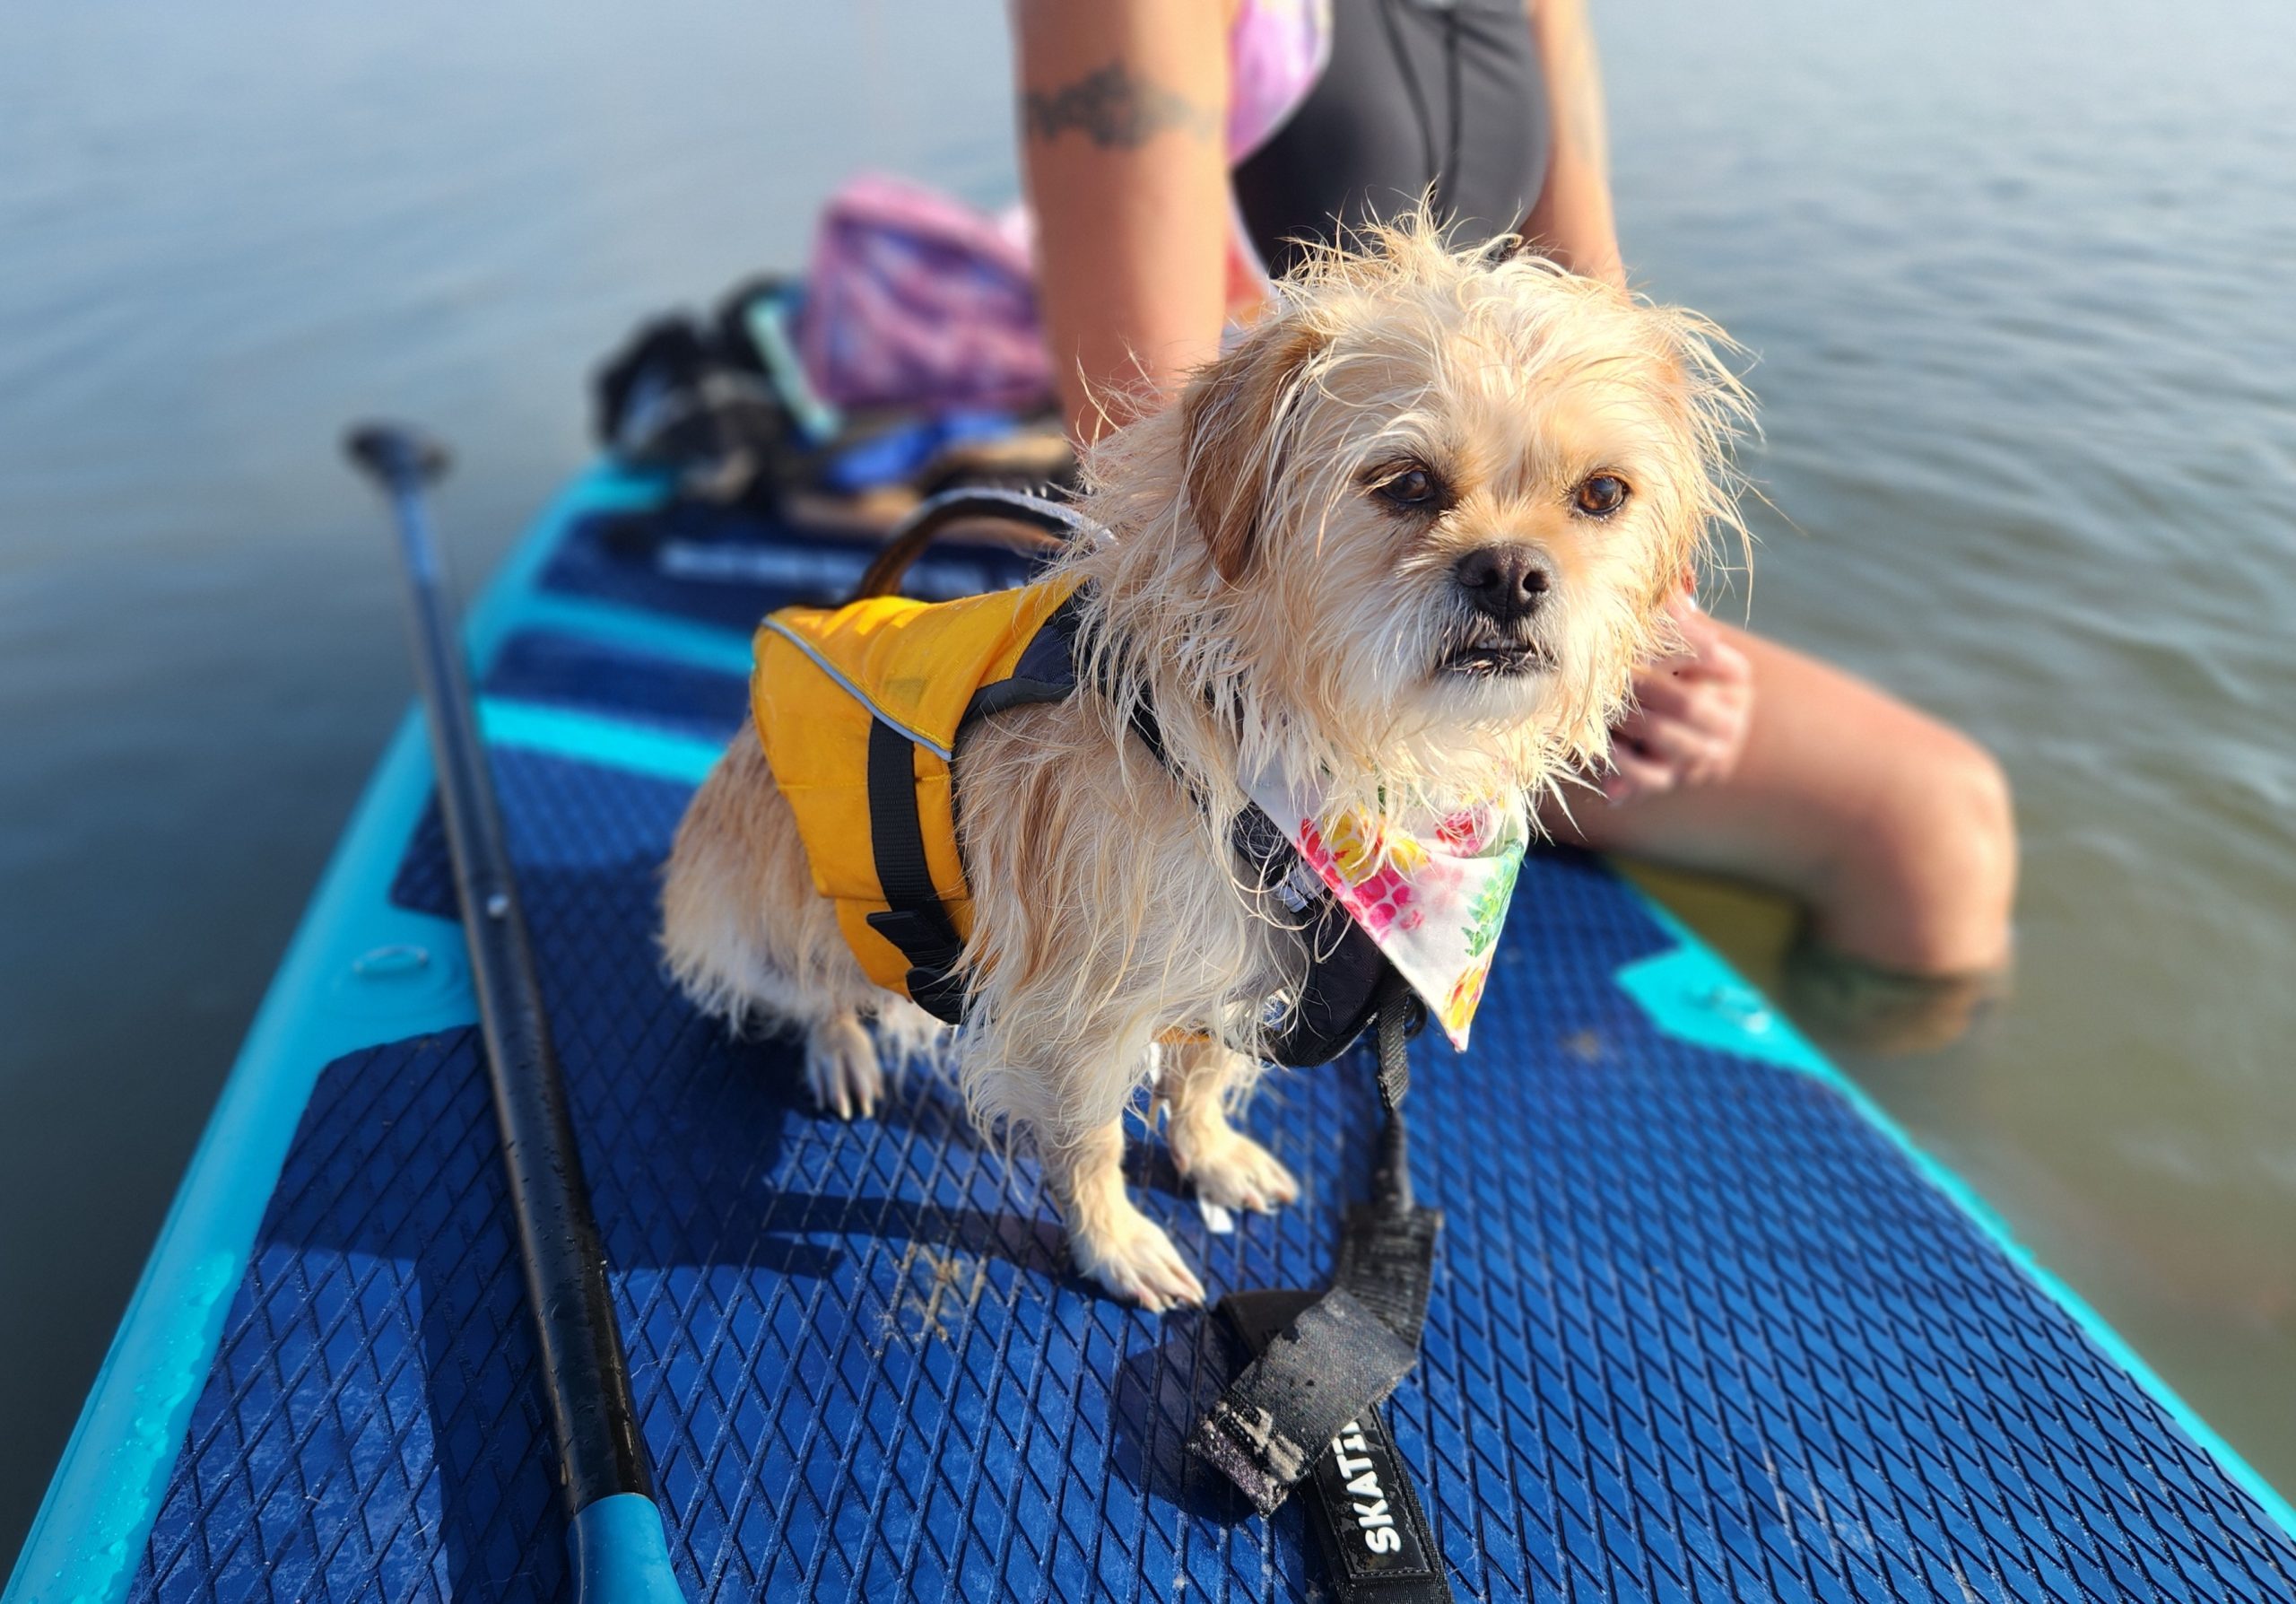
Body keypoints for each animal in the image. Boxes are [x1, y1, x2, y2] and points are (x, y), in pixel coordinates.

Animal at [661, 218, 1735, 1304]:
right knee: (811, 982)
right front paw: (1113, 1242)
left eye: (1602, 494)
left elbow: (1205, 1078)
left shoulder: (1242, 979)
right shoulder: (1076, 1008)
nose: (1511, 573)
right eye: (1404, 483)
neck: (1319, 752)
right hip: (759, 906)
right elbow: (1089, 1137)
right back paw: (840, 1042)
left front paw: (1211, 1156)